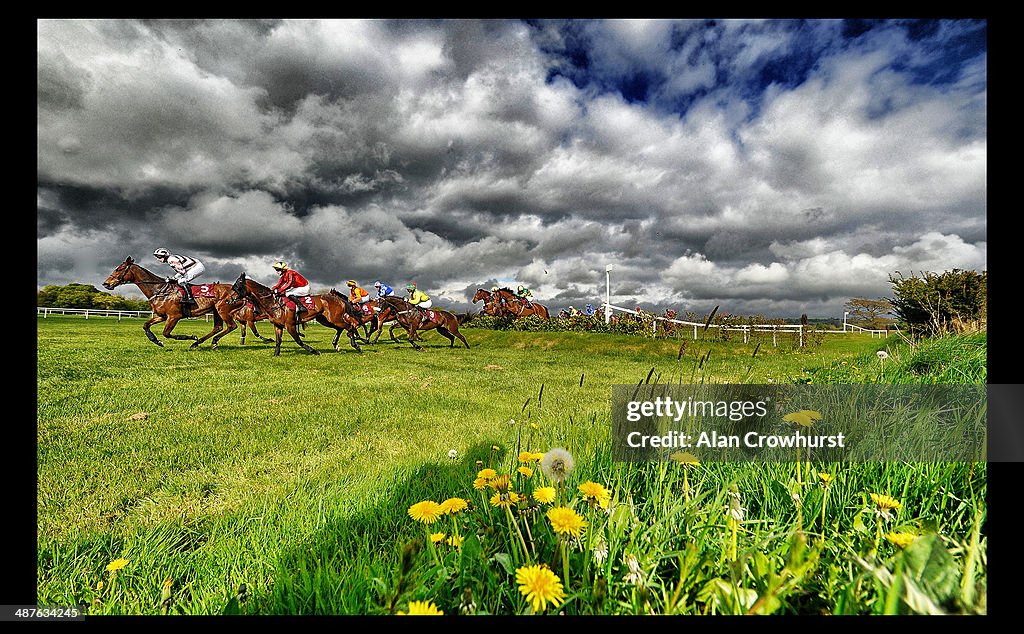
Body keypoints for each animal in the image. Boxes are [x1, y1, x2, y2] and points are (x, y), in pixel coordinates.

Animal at [101, 255, 243, 350]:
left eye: (119, 269)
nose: (106, 283)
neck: (159, 289)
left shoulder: (174, 316)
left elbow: (166, 333)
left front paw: (191, 337)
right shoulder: (162, 316)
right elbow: (146, 325)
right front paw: (157, 341)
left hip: (222, 309)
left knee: (231, 326)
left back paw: (207, 341)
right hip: (216, 310)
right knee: (218, 327)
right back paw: (200, 343)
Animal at [234, 276, 368, 356]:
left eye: (237, 287)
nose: (232, 299)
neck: (274, 302)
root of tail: (340, 300)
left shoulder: (290, 325)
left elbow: (298, 340)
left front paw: (314, 351)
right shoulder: (278, 325)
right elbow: (278, 341)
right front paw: (276, 354)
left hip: (334, 318)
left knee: (349, 326)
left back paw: (357, 345)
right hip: (325, 320)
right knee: (341, 328)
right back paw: (337, 345)